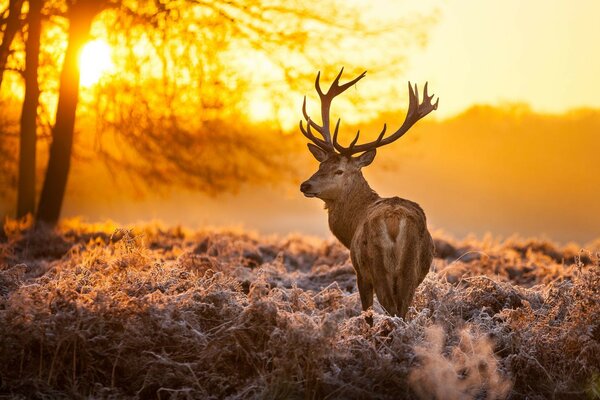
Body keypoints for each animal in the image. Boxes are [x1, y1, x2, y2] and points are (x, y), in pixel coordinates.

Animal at [298, 69, 436, 324]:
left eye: (339, 170)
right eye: (320, 164)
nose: (305, 185)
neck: (351, 225)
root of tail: (395, 222)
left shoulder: (360, 273)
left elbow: (367, 314)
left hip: (377, 266)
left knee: (392, 310)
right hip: (411, 271)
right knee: (403, 311)